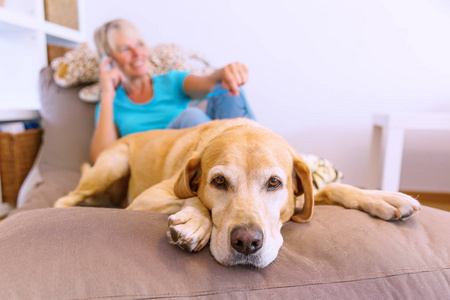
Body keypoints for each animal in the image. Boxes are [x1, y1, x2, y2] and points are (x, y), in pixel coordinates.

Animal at [54, 117, 420, 268]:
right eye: (218, 182)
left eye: (274, 183)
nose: (246, 243)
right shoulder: (146, 198)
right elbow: (193, 197)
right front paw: (195, 223)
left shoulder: (304, 197)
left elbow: (338, 187)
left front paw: (384, 197)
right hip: (112, 165)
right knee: (66, 198)